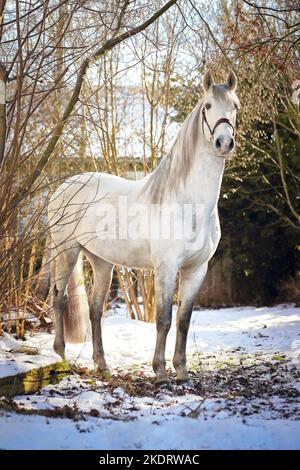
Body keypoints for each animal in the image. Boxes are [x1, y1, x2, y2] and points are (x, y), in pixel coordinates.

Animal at [48, 70, 238, 386]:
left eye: (235, 106)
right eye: (208, 106)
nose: (224, 143)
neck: (189, 203)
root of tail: (62, 187)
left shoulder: (196, 270)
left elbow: (183, 320)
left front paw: (182, 371)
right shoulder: (166, 267)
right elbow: (163, 319)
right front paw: (160, 372)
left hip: (101, 261)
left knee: (95, 309)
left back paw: (102, 364)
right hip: (67, 251)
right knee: (60, 300)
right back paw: (61, 357)